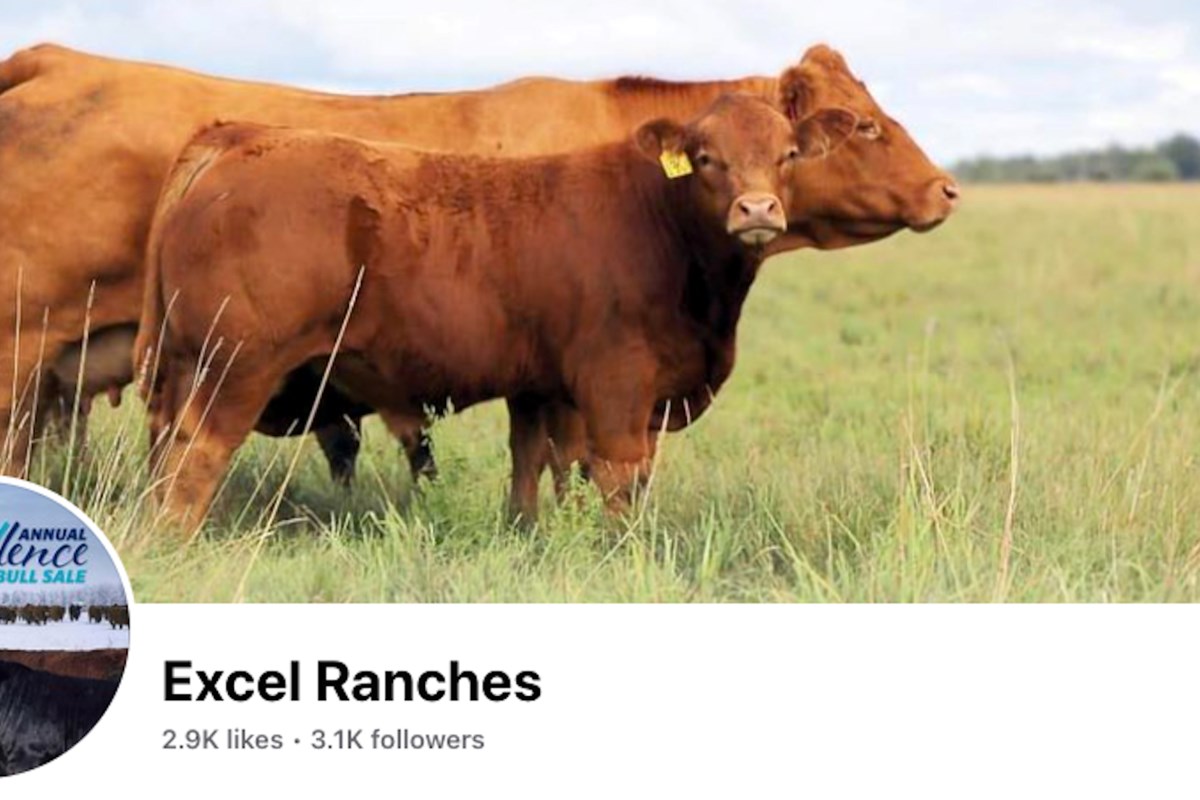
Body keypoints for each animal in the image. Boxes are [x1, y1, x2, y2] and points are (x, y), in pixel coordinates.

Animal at [0, 42, 953, 479]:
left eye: (798, 148)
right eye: (862, 126)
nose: (945, 189)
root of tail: (58, 62)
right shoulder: (586, 381)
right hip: (22, 352)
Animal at [139, 94, 860, 526]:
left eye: (788, 155)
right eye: (707, 158)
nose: (758, 209)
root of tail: (239, 136)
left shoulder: (546, 386)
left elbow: (534, 464)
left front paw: (530, 533)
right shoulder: (617, 386)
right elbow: (618, 479)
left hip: (184, 365)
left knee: (164, 447)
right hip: (237, 365)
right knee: (198, 452)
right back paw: (176, 538)